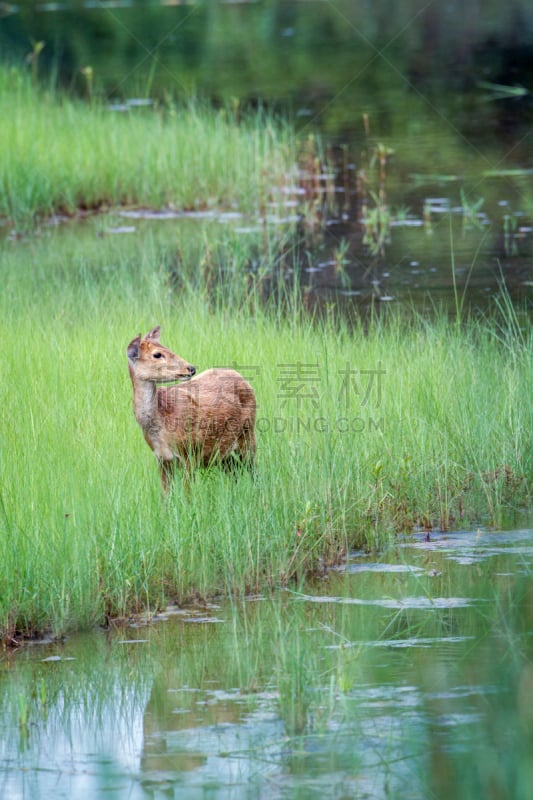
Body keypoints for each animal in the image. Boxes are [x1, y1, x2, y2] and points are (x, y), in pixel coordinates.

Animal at [127, 326, 256, 490]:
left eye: (167, 347)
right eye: (157, 354)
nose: (191, 368)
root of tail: (242, 378)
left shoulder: (190, 452)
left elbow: (187, 493)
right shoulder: (162, 459)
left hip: (248, 435)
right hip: (224, 455)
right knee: (233, 472)